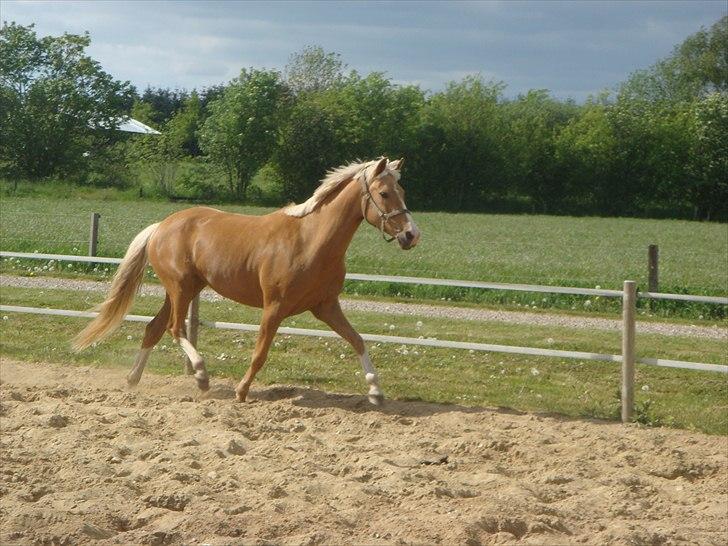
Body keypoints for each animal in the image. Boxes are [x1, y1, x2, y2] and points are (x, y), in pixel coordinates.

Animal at [74, 157, 420, 404]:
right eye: (384, 193)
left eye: (403, 192)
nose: (411, 235)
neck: (310, 241)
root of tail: (161, 226)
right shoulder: (274, 307)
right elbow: (260, 353)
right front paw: (241, 391)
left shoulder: (326, 307)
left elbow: (358, 340)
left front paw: (375, 391)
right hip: (181, 288)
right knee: (174, 329)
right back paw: (201, 376)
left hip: (183, 289)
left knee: (154, 329)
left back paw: (133, 380)